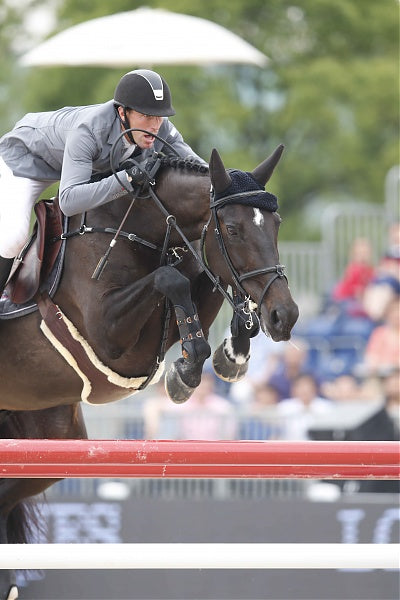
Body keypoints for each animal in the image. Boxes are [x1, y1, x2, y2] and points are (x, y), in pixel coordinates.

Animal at [0, 146, 296, 600]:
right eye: (232, 229)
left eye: (276, 225)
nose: (285, 316)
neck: (138, 228)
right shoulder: (109, 336)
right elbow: (172, 278)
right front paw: (189, 370)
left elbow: (199, 278)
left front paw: (230, 356)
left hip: (48, 440)